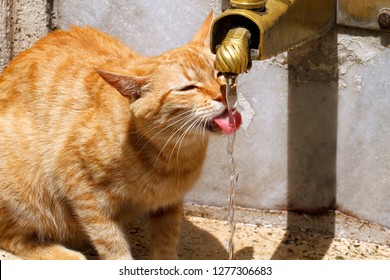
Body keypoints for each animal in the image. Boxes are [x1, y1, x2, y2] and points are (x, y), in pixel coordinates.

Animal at [0, 12, 241, 260]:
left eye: (219, 74)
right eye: (188, 88)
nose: (222, 96)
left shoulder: (170, 203)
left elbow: (166, 240)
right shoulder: (85, 193)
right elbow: (111, 242)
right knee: (11, 237)